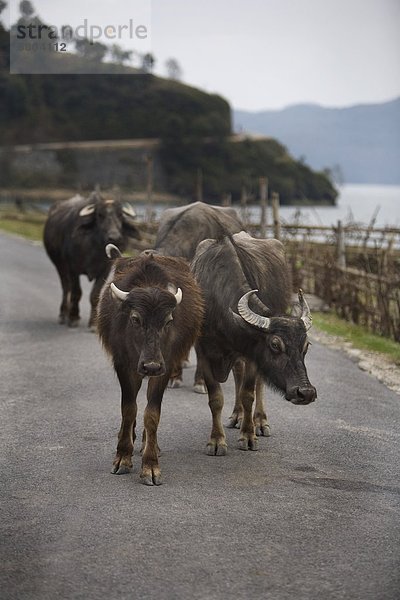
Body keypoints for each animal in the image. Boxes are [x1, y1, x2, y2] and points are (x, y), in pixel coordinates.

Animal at [43, 191, 141, 328]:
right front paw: (73, 317)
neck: (94, 249)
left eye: (120, 215)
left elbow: (95, 294)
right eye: (100, 215)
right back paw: (64, 314)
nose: (115, 237)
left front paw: (94, 323)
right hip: (60, 265)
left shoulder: (105, 269)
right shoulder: (73, 269)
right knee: (66, 287)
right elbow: (76, 292)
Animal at [96, 246, 203, 486]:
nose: (151, 366)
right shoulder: (124, 365)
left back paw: (147, 442)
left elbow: (151, 414)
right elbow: (128, 409)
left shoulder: (165, 367)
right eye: (136, 319)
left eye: (168, 321)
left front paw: (150, 465)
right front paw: (122, 458)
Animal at [192, 230, 318, 454]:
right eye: (275, 344)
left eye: (305, 346)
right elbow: (215, 398)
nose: (306, 392)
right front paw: (216, 441)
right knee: (237, 374)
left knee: (257, 383)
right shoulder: (203, 351)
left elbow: (248, 394)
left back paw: (259, 421)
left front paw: (248, 436)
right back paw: (237, 415)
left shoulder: (253, 354)